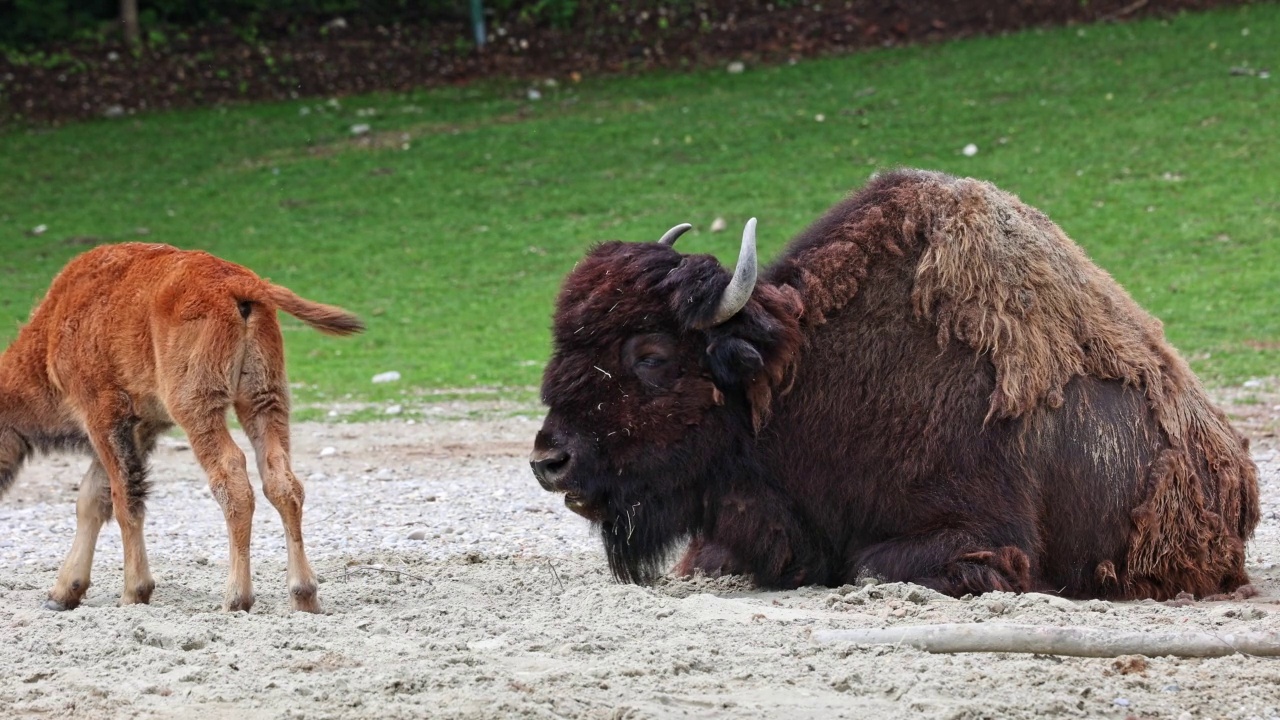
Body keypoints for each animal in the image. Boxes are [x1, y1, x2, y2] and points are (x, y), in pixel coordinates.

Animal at [1, 242, 360, 609]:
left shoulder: (103, 415)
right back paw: (304, 596)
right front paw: (62, 593)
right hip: (264, 398)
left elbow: (122, 498)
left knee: (232, 478)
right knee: (281, 480)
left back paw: (236, 598)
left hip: (197, 406)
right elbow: (93, 499)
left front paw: (133, 593)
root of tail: (243, 284)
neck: (53, 327)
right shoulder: (140, 427)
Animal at [529, 169, 1259, 599]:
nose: (549, 460)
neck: (797, 375)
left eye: (650, 354)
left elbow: (867, 566)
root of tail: (1236, 467)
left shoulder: (982, 538)